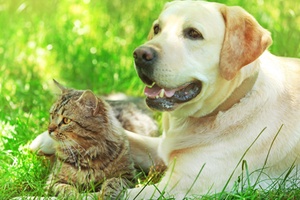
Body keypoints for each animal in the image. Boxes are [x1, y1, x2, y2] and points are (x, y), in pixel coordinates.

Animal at [30, 0, 300, 199]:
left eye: (194, 33)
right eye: (157, 28)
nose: (140, 54)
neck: (230, 104)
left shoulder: (178, 188)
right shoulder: (160, 148)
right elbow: (127, 138)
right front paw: (46, 140)